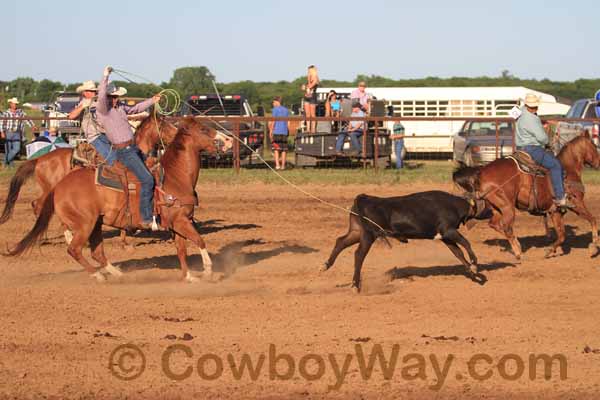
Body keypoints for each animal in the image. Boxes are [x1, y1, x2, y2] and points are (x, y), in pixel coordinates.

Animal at [6, 117, 223, 282]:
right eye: (204, 129)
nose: (225, 140)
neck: (175, 176)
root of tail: (60, 186)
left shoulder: (178, 223)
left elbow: (182, 250)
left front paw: (189, 277)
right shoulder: (180, 221)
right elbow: (200, 241)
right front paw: (208, 271)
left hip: (95, 223)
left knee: (96, 252)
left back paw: (117, 273)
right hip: (85, 223)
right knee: (73, 248)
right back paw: (98, 275)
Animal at [324, 191, 488, 290]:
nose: (492, 212)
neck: (453, 205)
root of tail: (364, 197)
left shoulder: (446, 237)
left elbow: (458, 253)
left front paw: (472, 272)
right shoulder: (449, 231)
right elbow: (466, 243)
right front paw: (474, 265)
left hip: (357, 231)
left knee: (341, 241)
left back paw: (326, 265)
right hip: (369, 234)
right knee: (359, 254)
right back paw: (355, 285)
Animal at [454, 134, 600, 260]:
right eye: (594, 145)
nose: (598, 163)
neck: (568, 169)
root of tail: (481, 172)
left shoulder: (555, 211)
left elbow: (562, 234)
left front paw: (550, 250)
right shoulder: (576, 203)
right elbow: (592, 220)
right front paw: (594, 247)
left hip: (497, 207)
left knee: (494, 224)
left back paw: (517, 245)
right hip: (507, 207)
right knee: (506, 227)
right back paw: (518, 253)